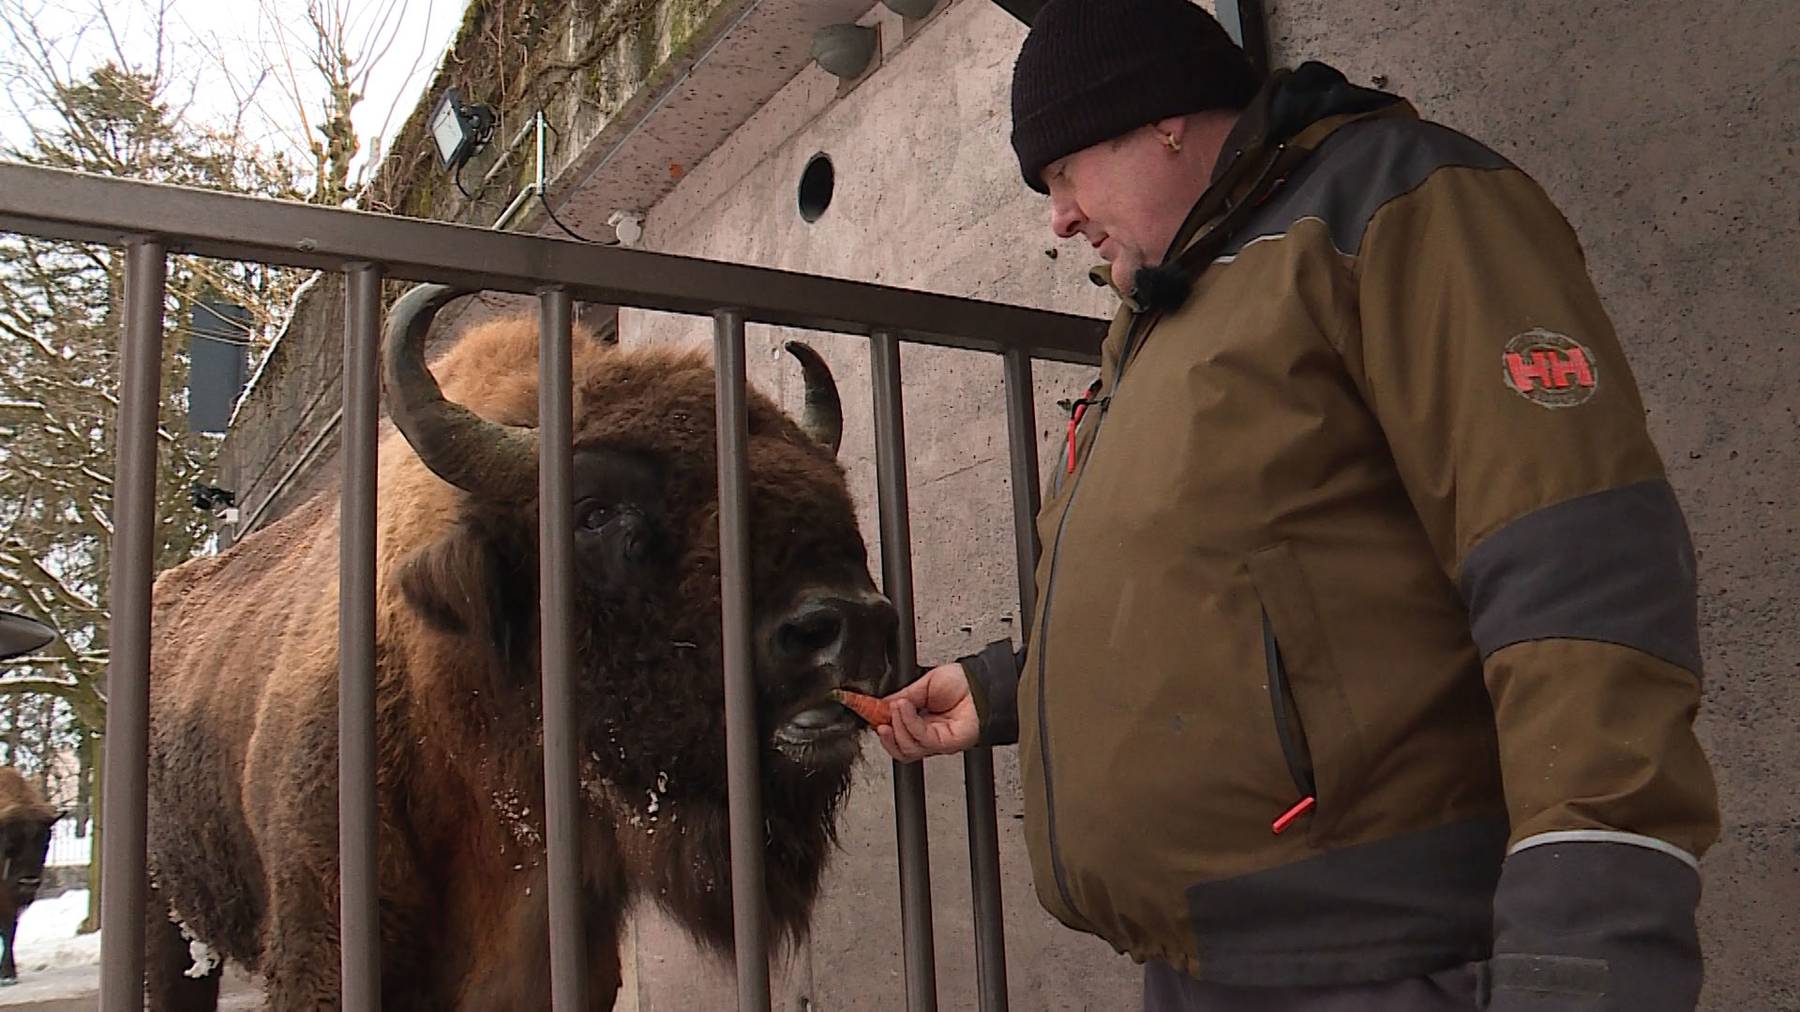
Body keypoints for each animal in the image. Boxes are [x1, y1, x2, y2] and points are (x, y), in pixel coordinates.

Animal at [0, 763, 58, 979]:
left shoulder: (10, 900)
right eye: (9, 844)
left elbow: (10, 930)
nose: (29, 883)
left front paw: (9, 973)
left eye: (46, 843)